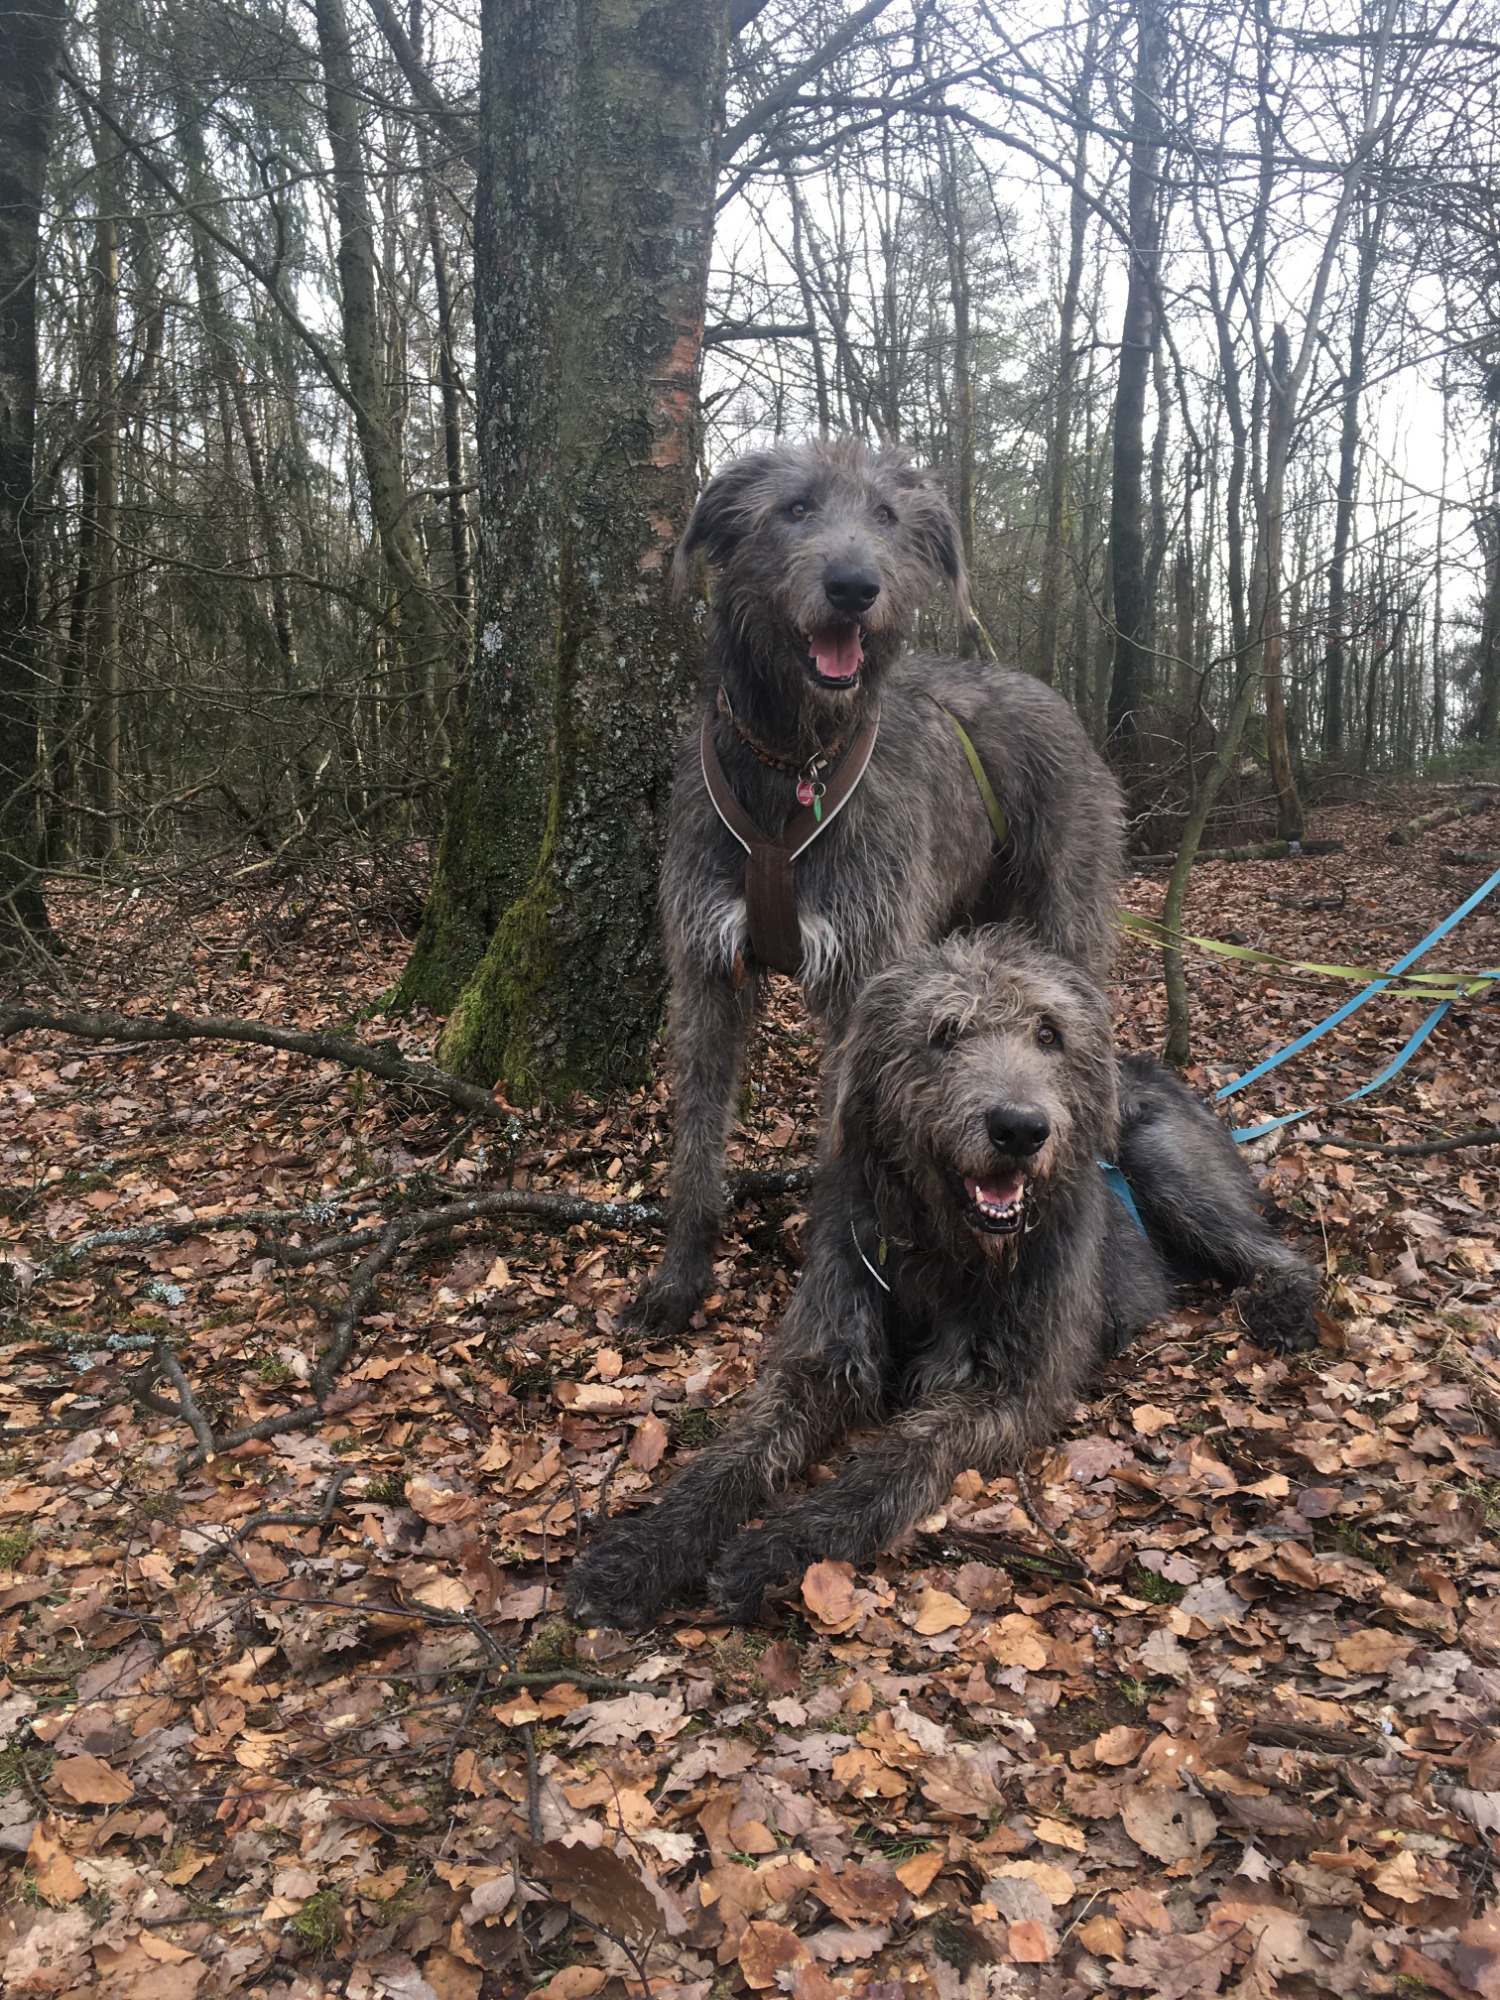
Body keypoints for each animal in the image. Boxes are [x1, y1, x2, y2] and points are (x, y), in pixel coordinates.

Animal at [570, 927, 1320, 1627]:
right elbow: (741, 1449)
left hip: (1170, 1171)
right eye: (945, 1032)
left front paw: (777, 1549)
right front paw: (645, 1549)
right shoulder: (832, 1335)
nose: (1019, 1129)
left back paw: (1284, 1306)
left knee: (1278, 1252)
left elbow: (898, 1458)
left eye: (1048, 1033)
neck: (941, 1250)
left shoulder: (1012, 1389)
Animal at [630, 436, 1125, 1335]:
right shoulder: (708, 972)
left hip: (1064, 913)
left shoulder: (862, 978)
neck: (796, 760)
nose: (855, 587)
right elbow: (697, 1141)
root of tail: (1050, 694)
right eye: (794, 508)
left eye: (888, 517)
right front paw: (679, 1278)